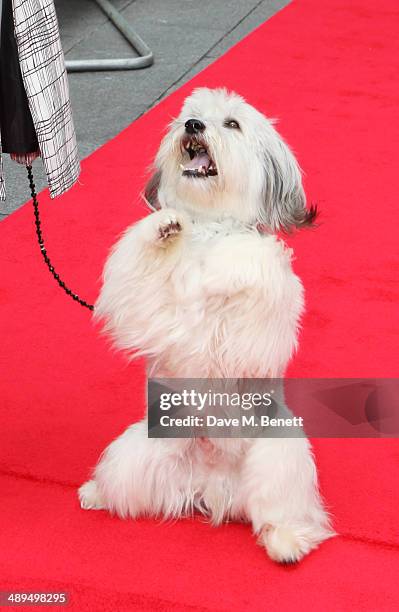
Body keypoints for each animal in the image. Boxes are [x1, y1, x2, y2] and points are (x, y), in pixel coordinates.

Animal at [78, 87, 334, 564]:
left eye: (231, 124)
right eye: (190, 116)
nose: (193, 126)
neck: (211, 225)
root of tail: (213, 485)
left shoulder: (259, 309)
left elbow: (244, 258)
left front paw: (222, 264)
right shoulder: (153, 309)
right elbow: (142, 272)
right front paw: (166, 227)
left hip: (280, 455)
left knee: (280, 510)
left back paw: (287, 540)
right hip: (137, 453)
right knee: (127, 488)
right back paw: (96, 492)